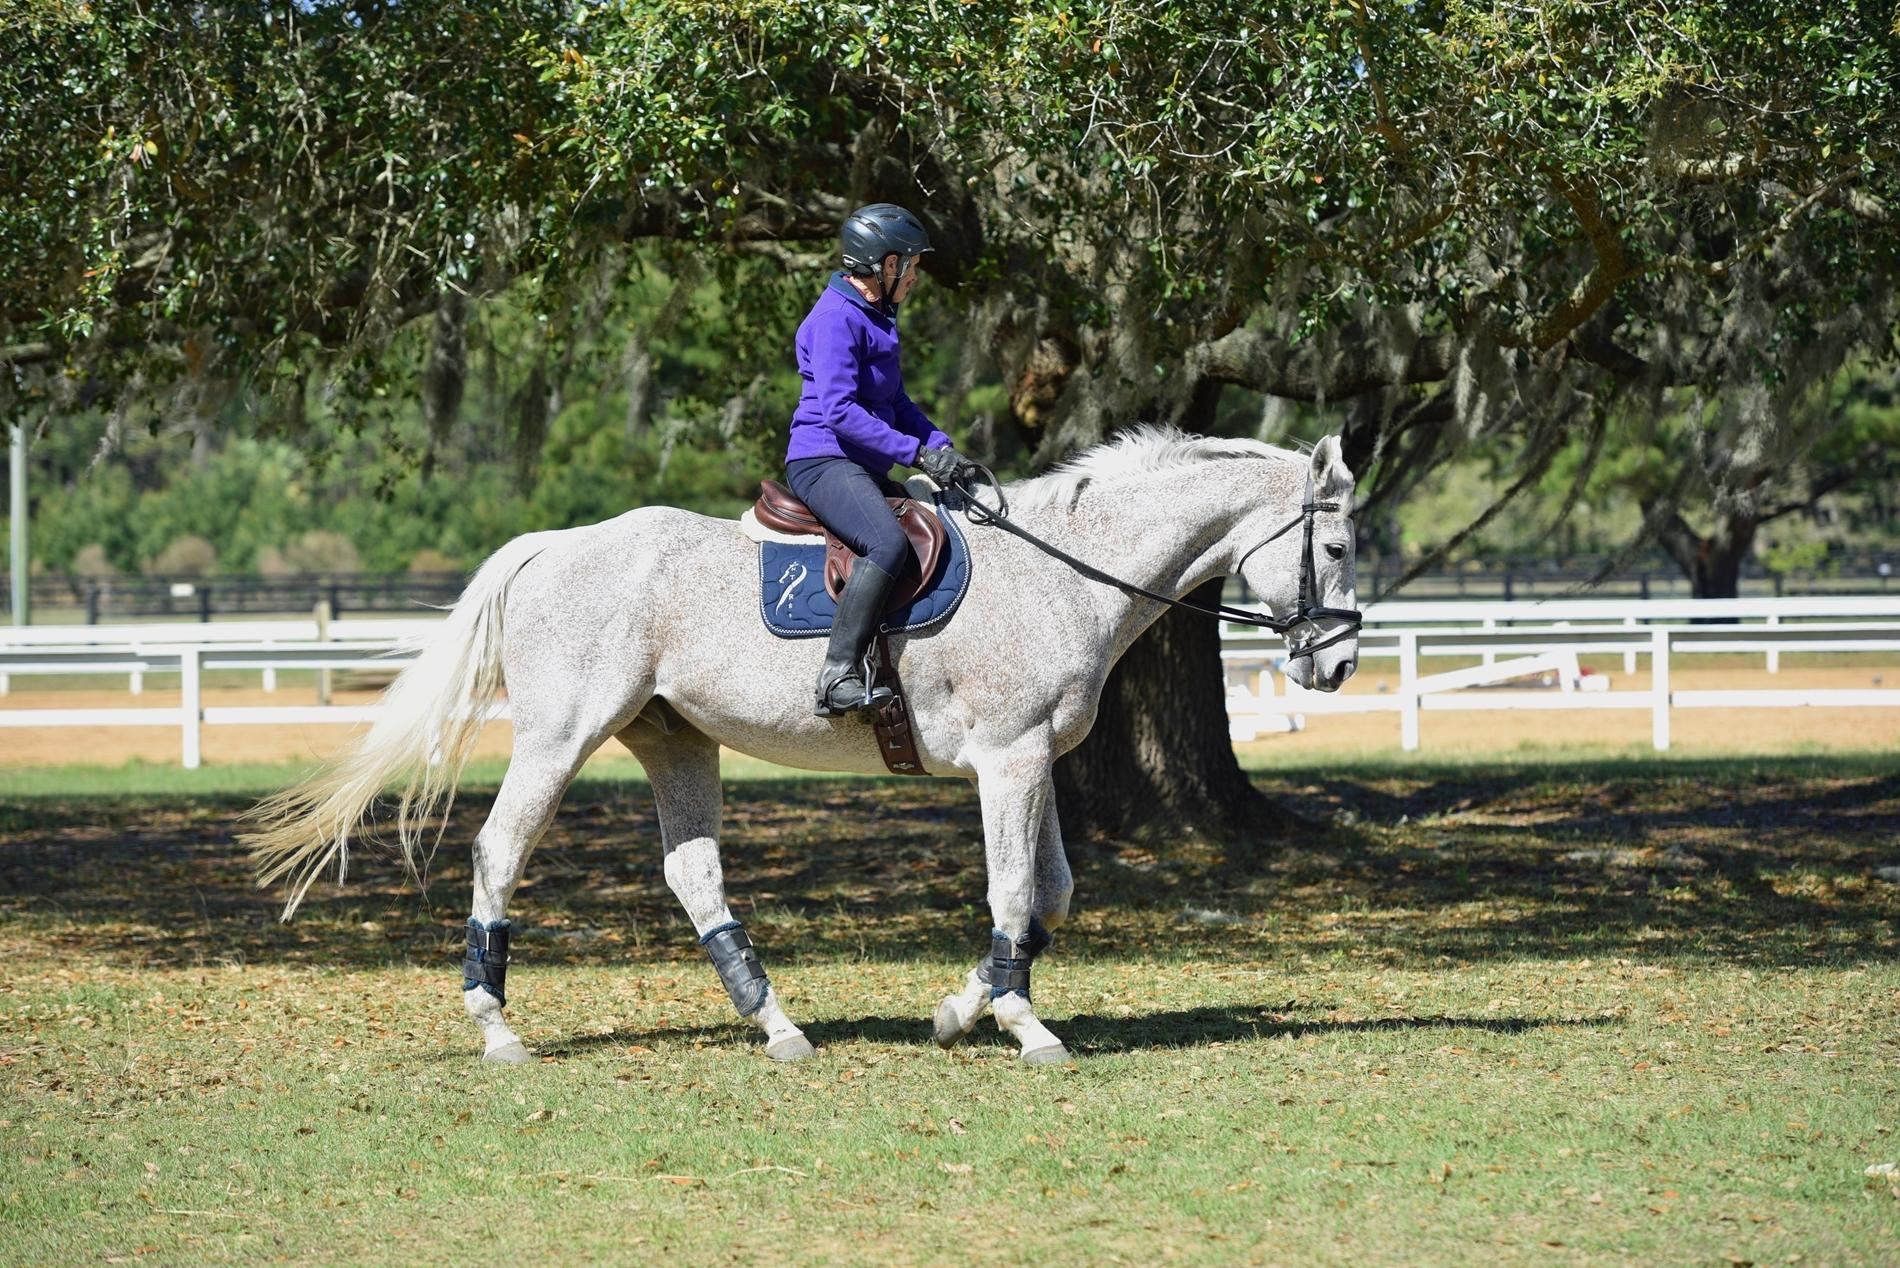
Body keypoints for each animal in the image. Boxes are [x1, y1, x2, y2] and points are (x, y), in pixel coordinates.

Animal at [246, 427, 1361, 1066]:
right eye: (1341, 544)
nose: (1341, 664)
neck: (1062, 573)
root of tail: (553, 544)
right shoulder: (1009, 760)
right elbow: (1014, 891)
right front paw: (1024, 1027)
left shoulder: (1033, 762)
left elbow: (1048, 896)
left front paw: (960, 1011)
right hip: (563, 736)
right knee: (499, 851)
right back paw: (498, 1026)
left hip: (676, 740)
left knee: (693, 872)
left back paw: (777, 1026)